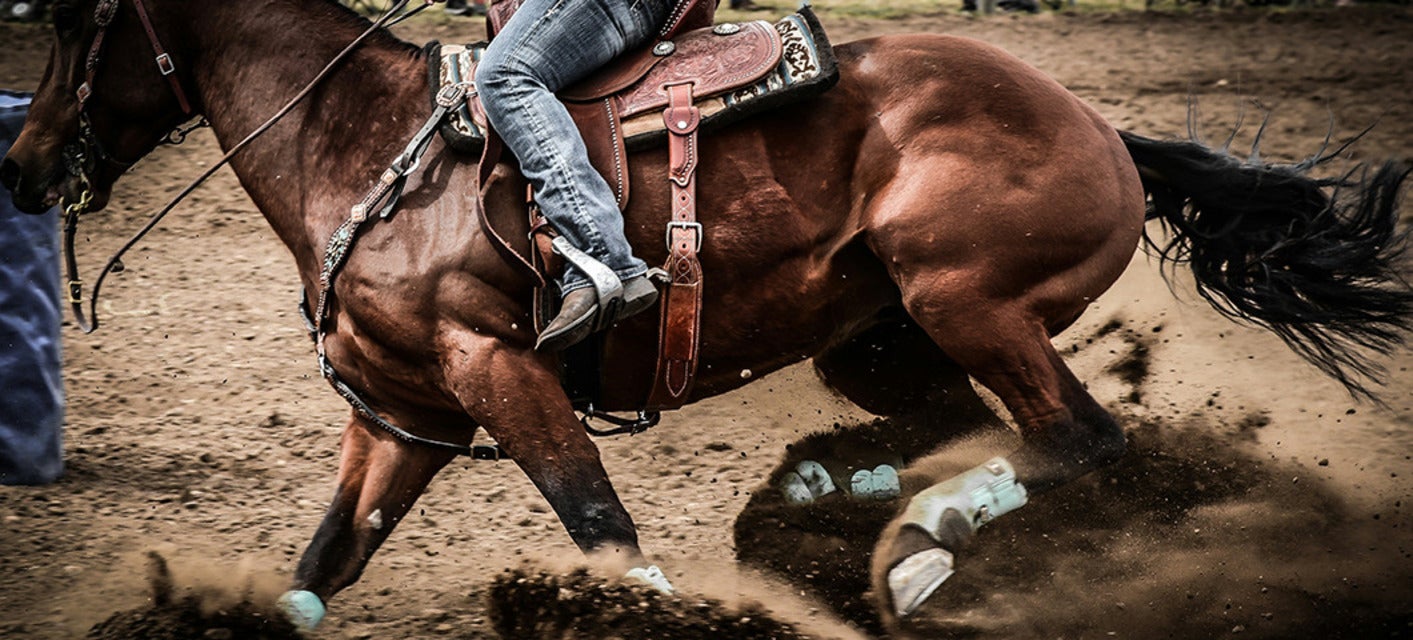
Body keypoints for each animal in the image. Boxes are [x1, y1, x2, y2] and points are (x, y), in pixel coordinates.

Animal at [3, 0, 1409, 629]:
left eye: (78, 21)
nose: (19, 166)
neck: (360, 146)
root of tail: (1104, 127)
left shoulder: (498, 369)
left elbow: (599, 525)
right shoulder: (404, 416)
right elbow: (322, 563)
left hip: (963, 295)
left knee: (1080, 437)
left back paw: (921, 537)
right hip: (881, 338)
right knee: (982, 430)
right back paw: (841, 498)